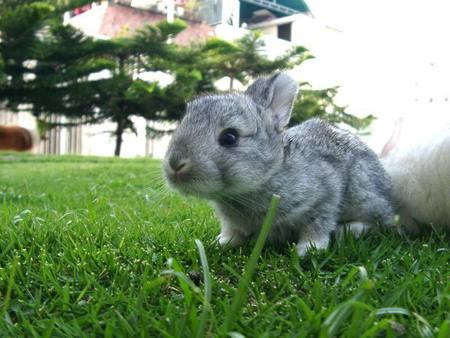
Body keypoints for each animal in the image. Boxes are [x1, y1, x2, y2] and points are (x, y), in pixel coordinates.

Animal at [164, 72, 394, 255]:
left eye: (229, 137)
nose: (175, 164)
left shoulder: (326, 193)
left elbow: (318, 224)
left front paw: (306, 250)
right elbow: (232, 232)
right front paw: (221, 242)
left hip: (363, 193)